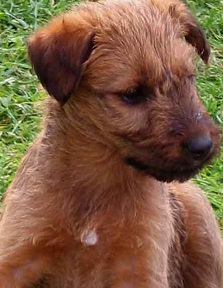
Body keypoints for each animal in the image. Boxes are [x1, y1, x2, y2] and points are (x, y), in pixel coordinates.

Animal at [0, 0, 223, 286]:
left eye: (189, 78)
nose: (203, 146)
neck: (99, 183)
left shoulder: (141, 264)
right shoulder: (16, 253)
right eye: (132, 94)